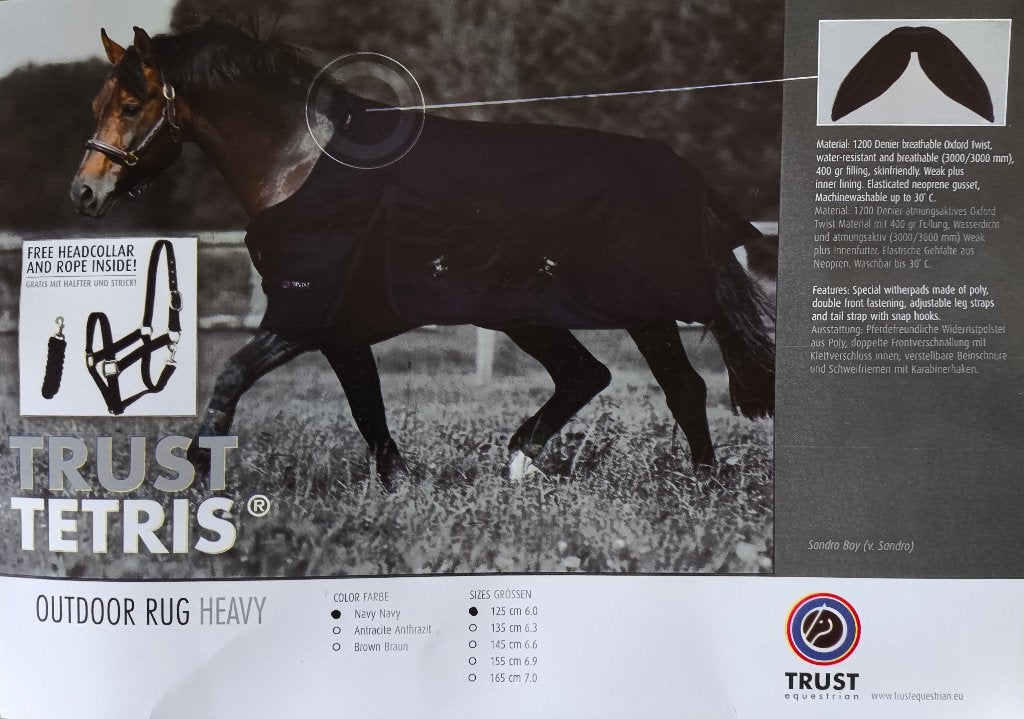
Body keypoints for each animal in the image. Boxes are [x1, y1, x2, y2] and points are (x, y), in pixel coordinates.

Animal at [70, 23, 775, 487]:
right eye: (97, 104)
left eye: (131, 104)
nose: (85, 192)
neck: (305, 166)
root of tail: (680, 172)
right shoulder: (339, 334)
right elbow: (367, 409)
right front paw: (398, 485)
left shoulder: (302, 319)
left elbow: (230, 378)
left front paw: (191, 478)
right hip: (525, 315)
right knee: (587, 376)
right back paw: (519, 462)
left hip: (639, 311)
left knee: (680, 387)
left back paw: (699, 484)